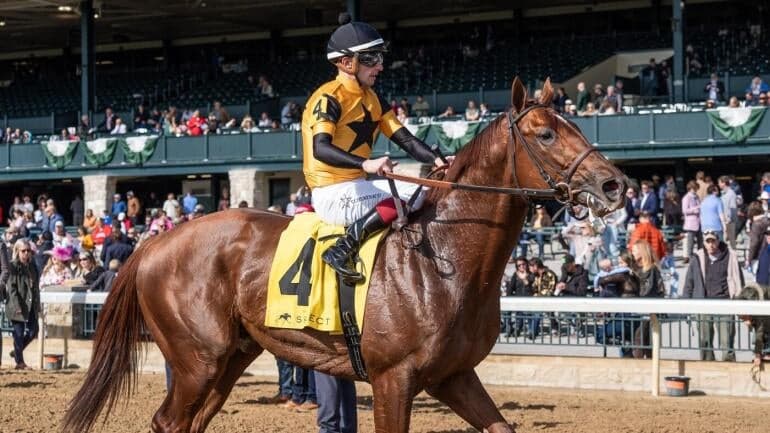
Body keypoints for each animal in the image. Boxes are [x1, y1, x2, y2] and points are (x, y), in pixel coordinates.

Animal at [62, 77, 626, 433]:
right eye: (546, 133)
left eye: (577, 126)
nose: (614, 184)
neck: (444, 261)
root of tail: (156, 241)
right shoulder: (393, 379)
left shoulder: (454, 376)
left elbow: (501, 425)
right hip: (198, 359)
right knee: (168, 420)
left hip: (230, 358)